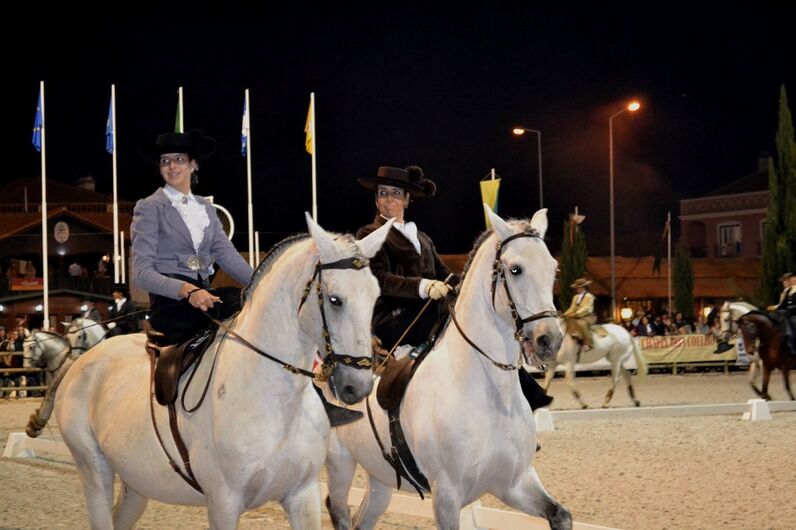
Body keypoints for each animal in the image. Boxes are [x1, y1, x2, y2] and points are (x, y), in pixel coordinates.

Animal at [27, 213, 392, 530]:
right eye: (335, 299)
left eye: (376, 296)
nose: (357, 387)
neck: (273, 400)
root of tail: (80, 363)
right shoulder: (224, 503)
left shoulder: (303, 495)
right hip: (94, 469)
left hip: (135, 484)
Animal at [324, 206, 572, 530]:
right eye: (515, 269)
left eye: (553, 268)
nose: (549, 340)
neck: (489, 395)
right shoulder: (447, 496)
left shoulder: (515, 483)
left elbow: (561, 515)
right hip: (340, 466)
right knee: (337, 508)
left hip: (380, 478)